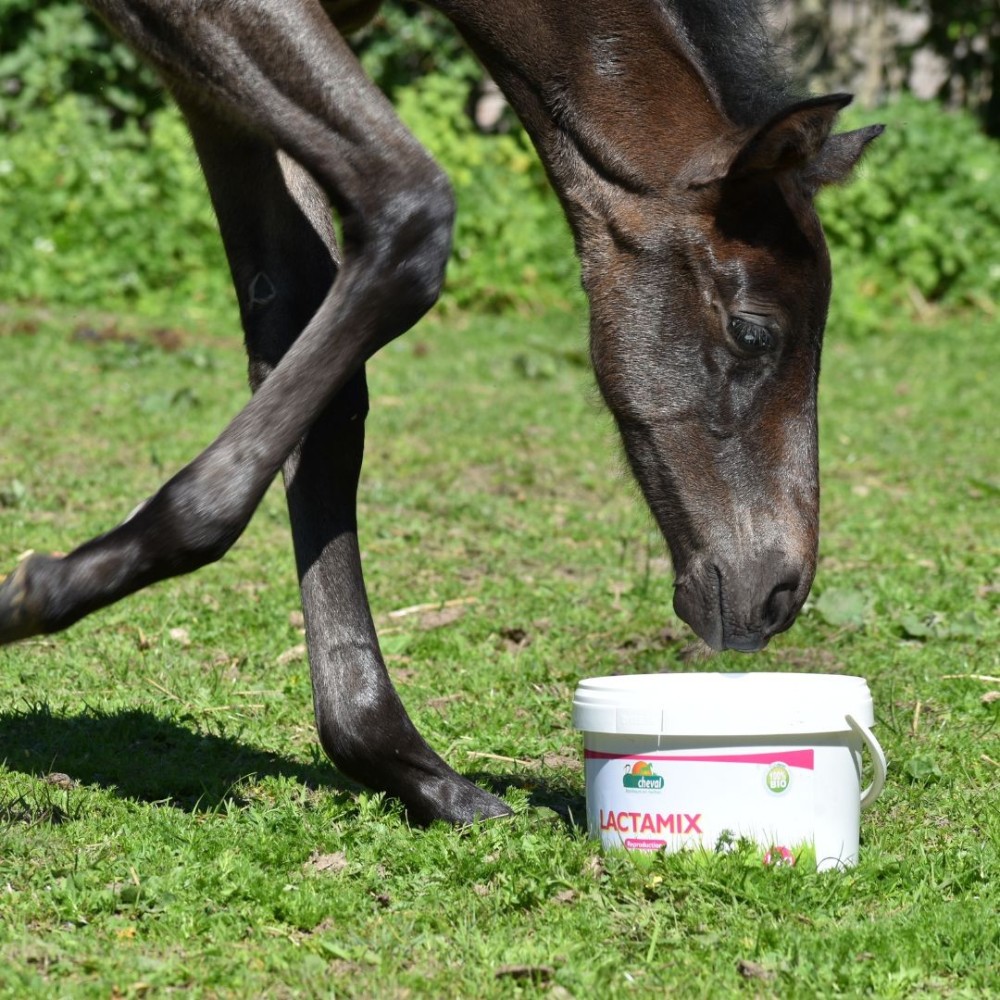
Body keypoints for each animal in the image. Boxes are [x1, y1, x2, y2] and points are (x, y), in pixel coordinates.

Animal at [0, 0, 882, 824]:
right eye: (753, 331)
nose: (781, 592)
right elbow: (411, 216)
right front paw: (47, 588)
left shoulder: (217, 94)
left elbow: (313, 370)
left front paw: (401, 762)